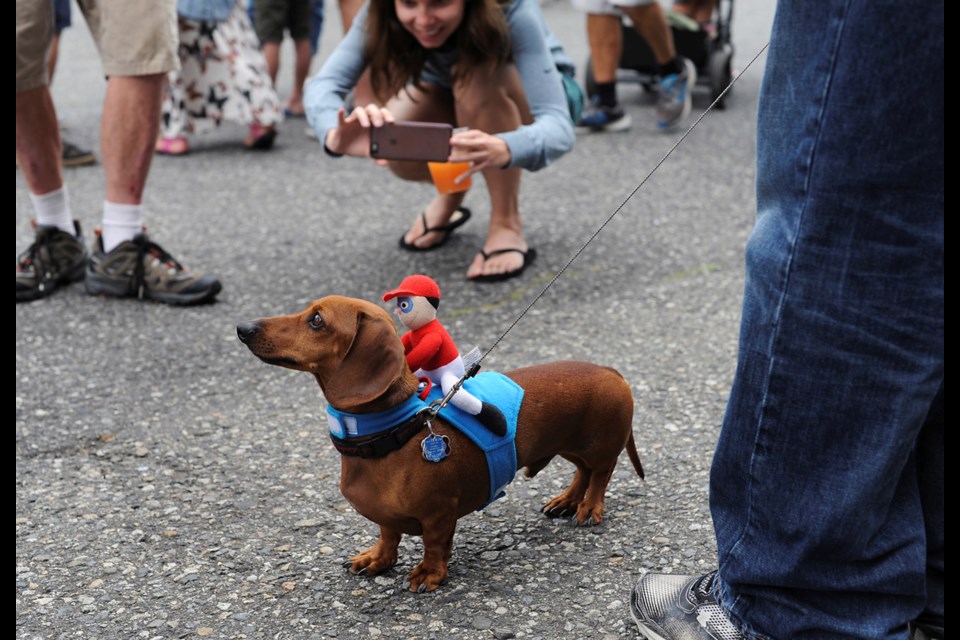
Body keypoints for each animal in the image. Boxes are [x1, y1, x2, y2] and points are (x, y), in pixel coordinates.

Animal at [239, 298, 644, 592]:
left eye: (317, 321)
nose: (243, 328)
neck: (393, 431)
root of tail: (609, 370)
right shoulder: (386, 517)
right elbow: (388, 534)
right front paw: (377, 559)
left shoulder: (439, 514)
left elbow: (435, 546)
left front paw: (428, 574)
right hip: (571, 446)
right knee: (582, 471)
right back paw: (567, 500)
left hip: (600, 446)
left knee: (601, 474)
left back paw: (588, 508)